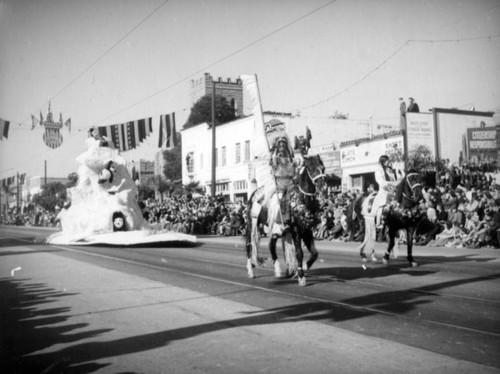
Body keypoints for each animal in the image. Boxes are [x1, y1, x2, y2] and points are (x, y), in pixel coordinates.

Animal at [245, 155, 324, 286]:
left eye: (323, 167)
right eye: (311, 168)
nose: (322, 185)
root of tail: (254, 194)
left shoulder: (306, 230)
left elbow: (314, 253)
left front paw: (302, 268)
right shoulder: (296, 229)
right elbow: (299, 253)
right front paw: (301, 277)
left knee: (271, 245)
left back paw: (278, 271)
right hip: (253, 225)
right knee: (250, 245)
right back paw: (251, 271)